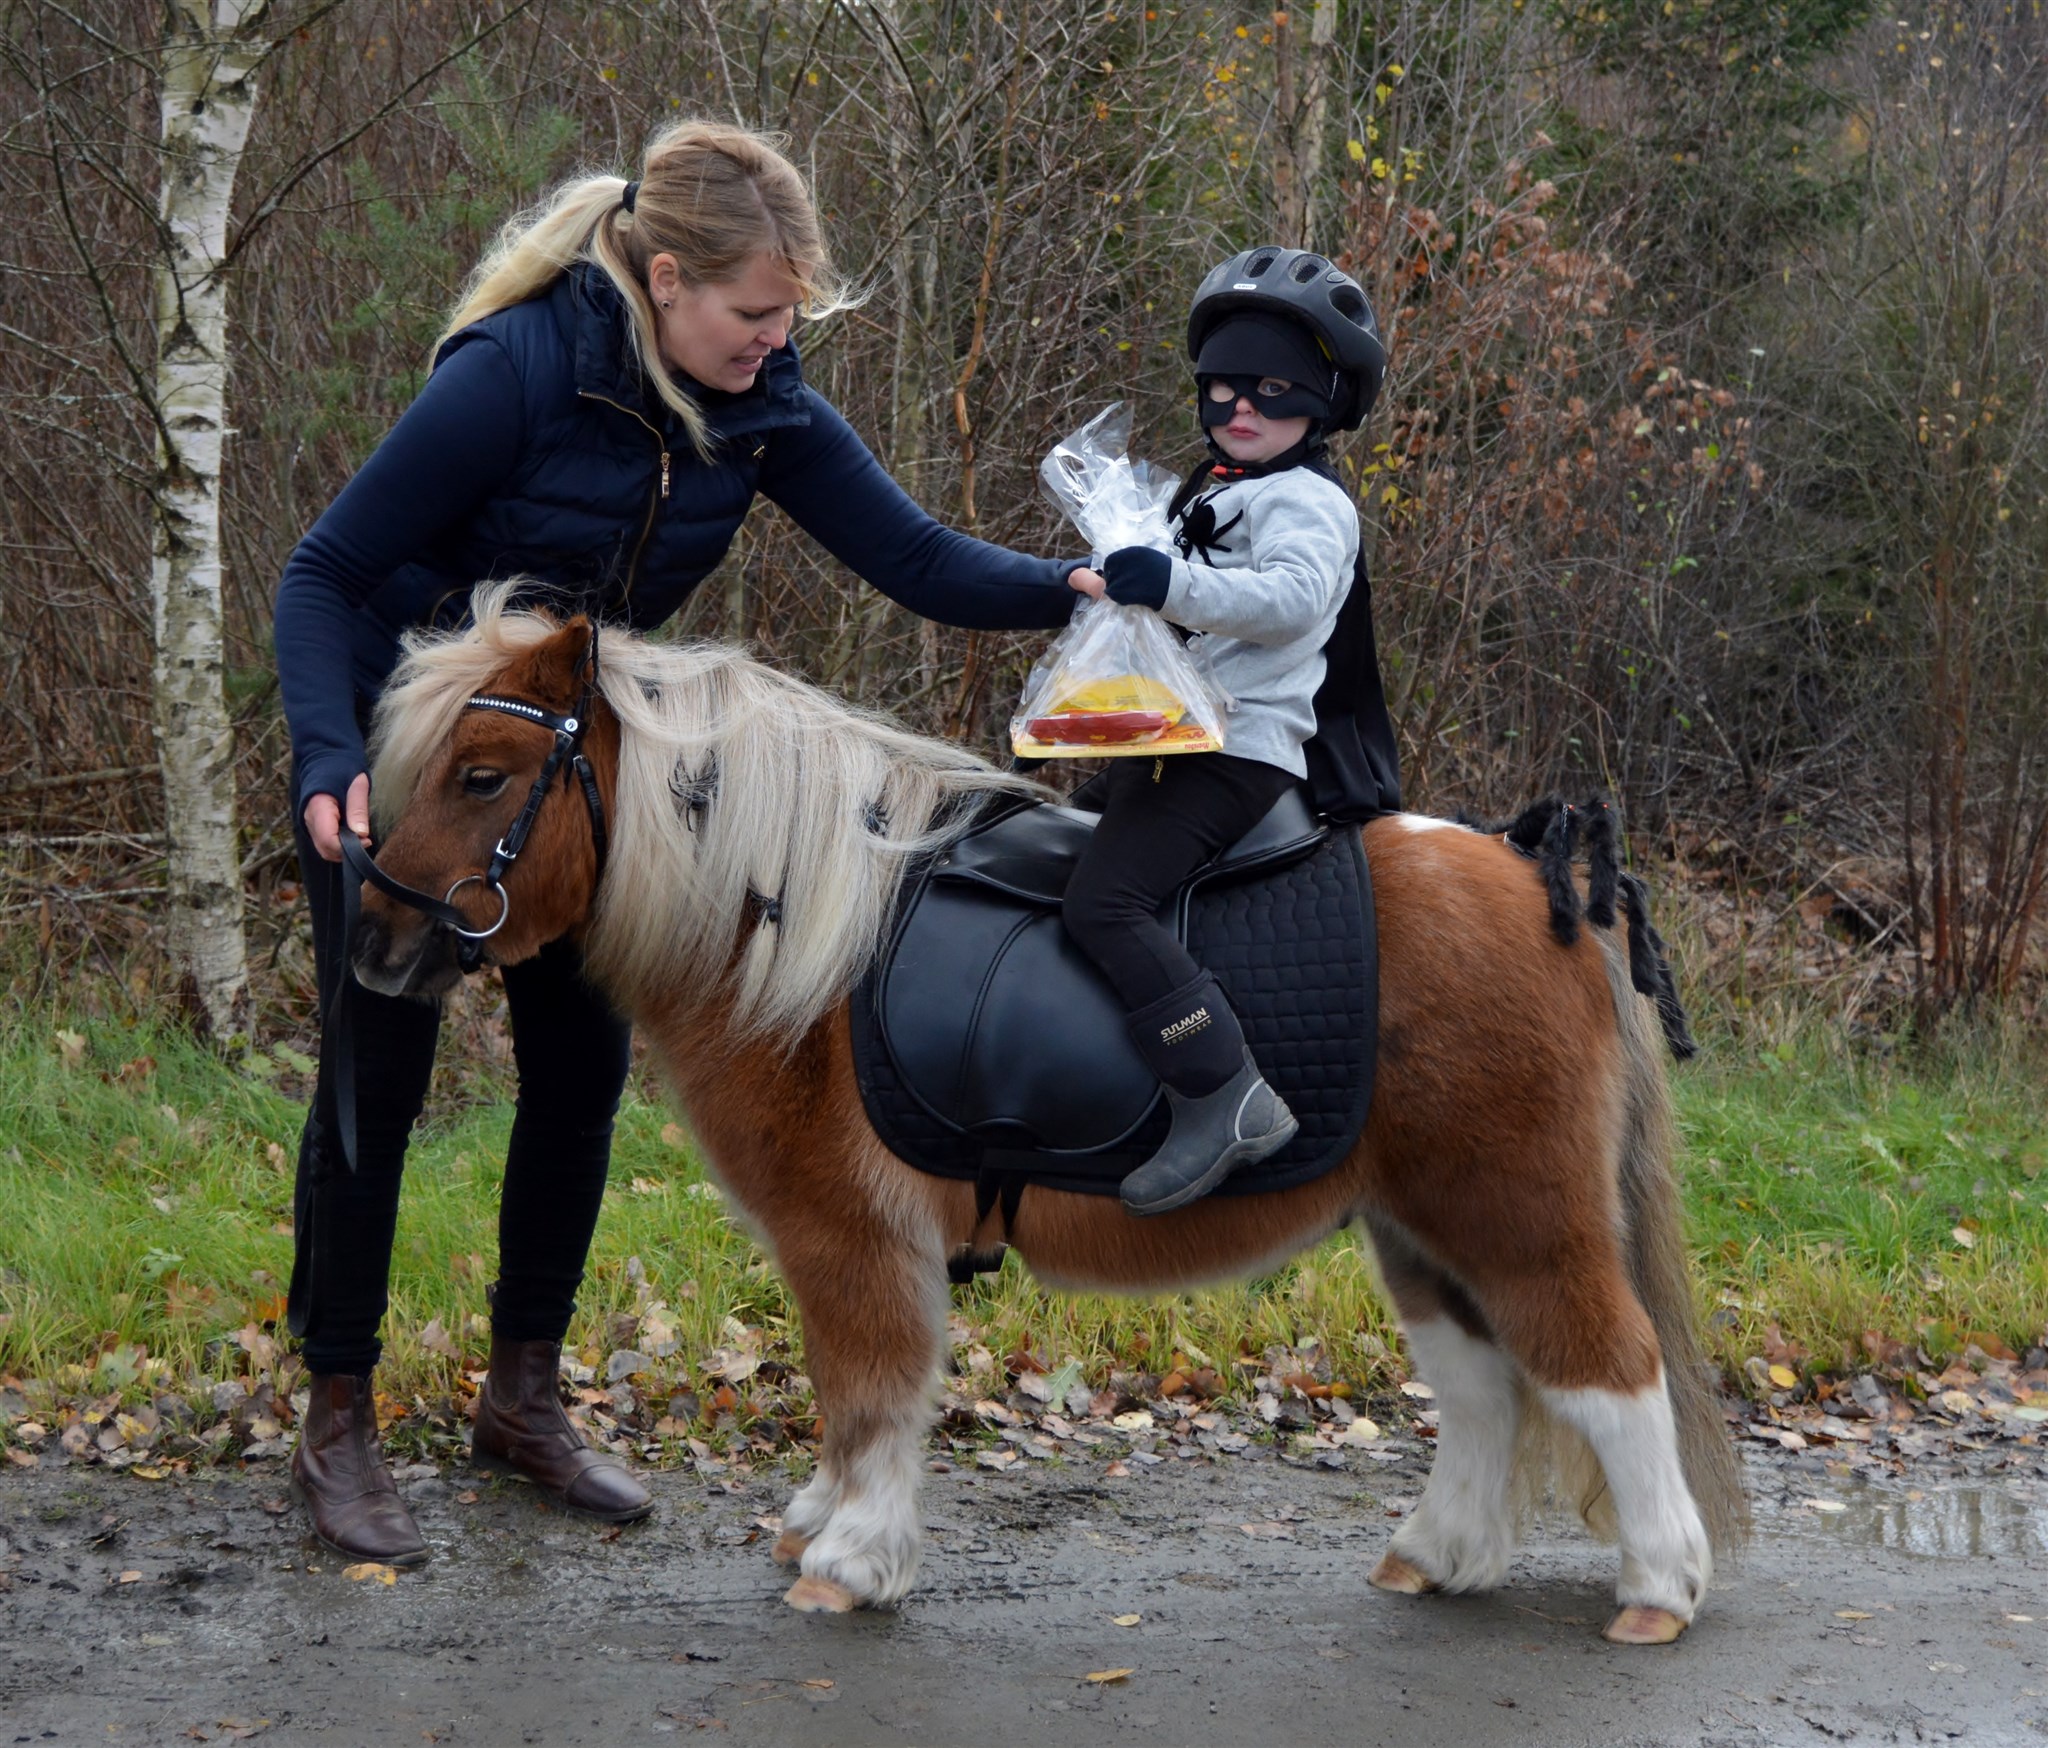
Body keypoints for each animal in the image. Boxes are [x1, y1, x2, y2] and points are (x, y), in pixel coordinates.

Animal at [352, 593, 1744, 1645]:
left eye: (482, 775)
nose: (372, 946)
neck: (800, 933)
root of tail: (1546, 881)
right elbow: (846, 1394)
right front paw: (819, 1521)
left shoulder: (852, 1236)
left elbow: (870, 1388)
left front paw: (852, 1557)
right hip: (1420, 1223)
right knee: (1483, 1384)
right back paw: (1441, 1550)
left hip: (1518, 1215)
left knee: (1609, 1372)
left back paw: (1660, 1584)